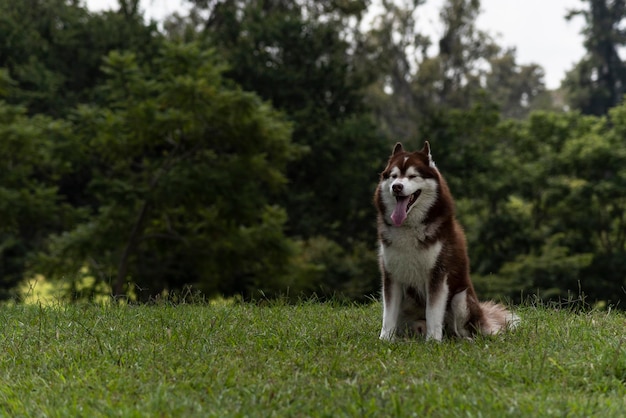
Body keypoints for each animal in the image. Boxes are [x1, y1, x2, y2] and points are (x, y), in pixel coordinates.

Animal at [370, 142, 516, 342]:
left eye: (412, 176)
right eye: (393, 176)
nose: (397, 187)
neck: (409, 227)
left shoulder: (438, 274)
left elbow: (433, 312)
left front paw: (432, 341)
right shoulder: (391, 275)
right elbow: (388, 314)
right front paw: (385, 340)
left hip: (461, 298)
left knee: (459, 329)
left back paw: (463, 340)